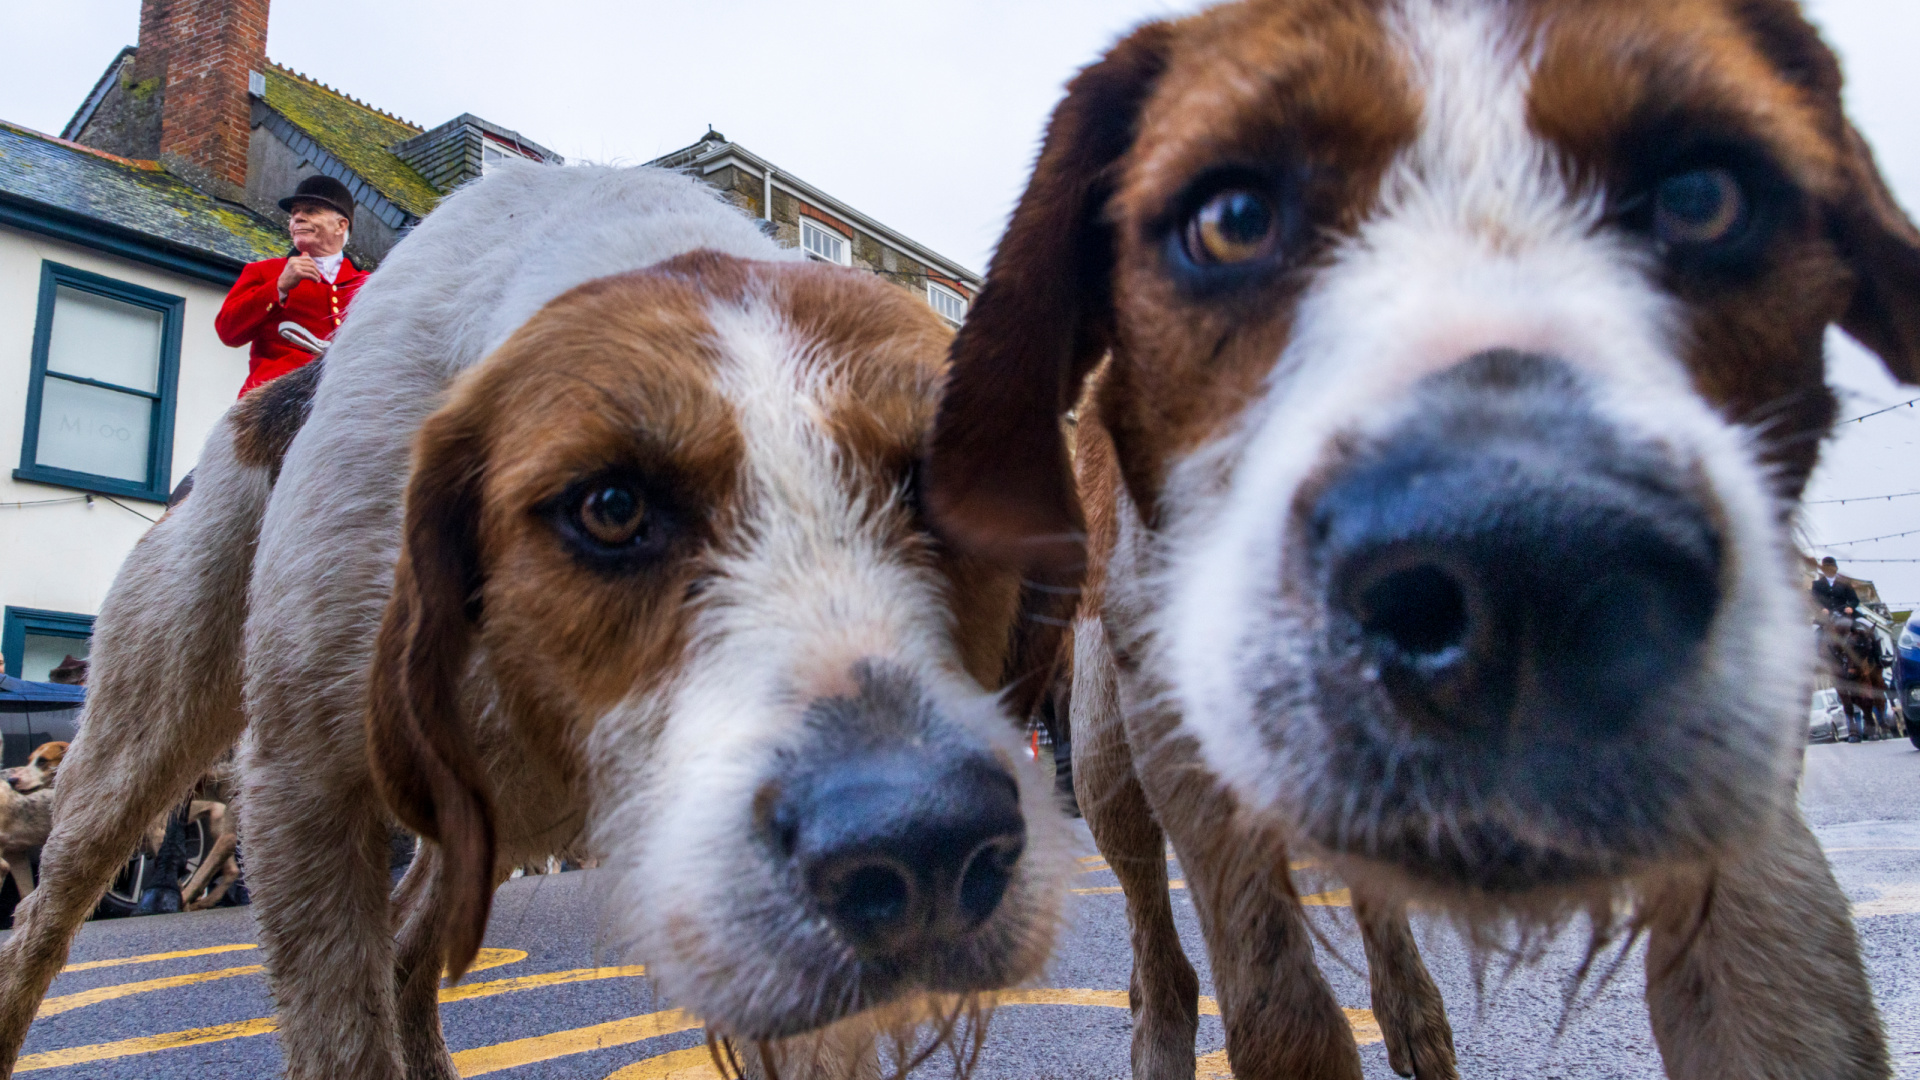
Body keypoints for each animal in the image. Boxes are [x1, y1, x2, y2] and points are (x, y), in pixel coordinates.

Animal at [925, 2, 1904, 1076]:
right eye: (1232, 221)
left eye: (1701, 195)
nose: (1523, 560)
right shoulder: (1183, 736)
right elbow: (1279, 1013)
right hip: (1106, 749)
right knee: (1159, 958)